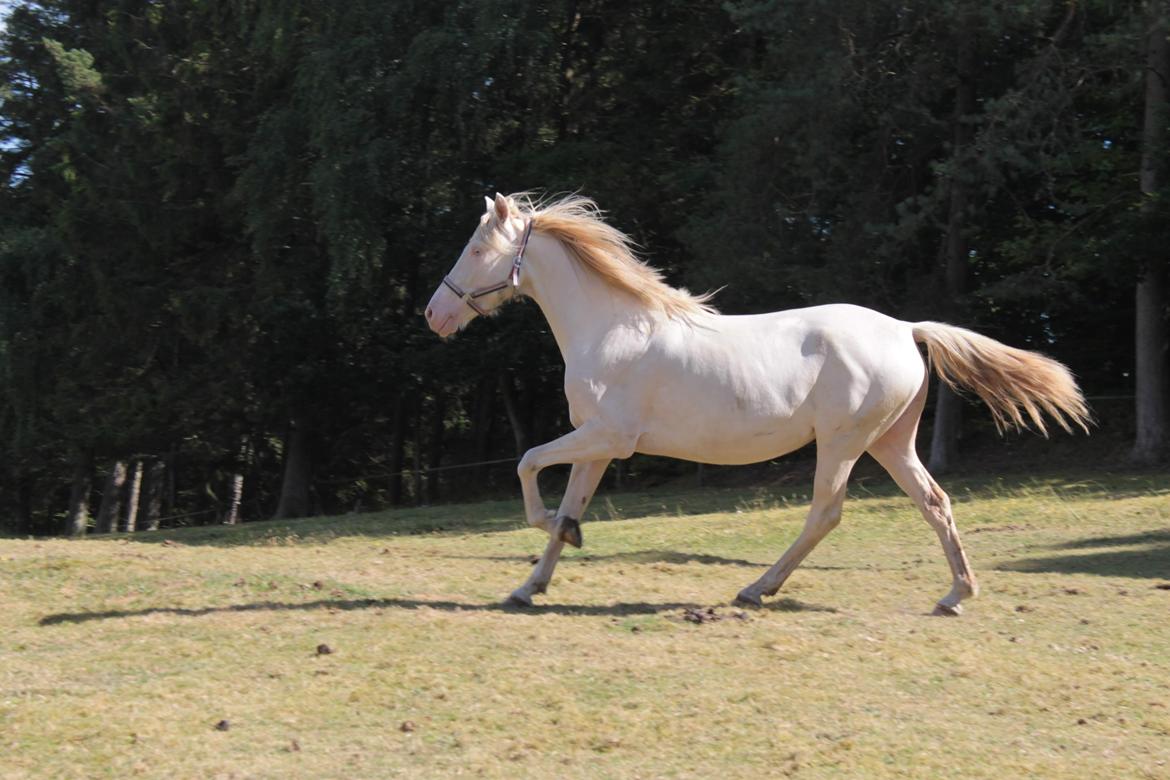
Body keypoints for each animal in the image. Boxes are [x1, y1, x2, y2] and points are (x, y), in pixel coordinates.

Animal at [425, 191, 1090, 612]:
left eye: (477, 250)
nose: (435, 314)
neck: (613, 329)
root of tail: (906, 328)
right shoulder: (597, 446)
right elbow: (567, 505)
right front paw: (531, 584)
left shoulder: (607, 438)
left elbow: (528, 466)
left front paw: (559, 540)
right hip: (890, 442)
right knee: (936, 503)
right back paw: (955, 595)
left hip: (844, 443)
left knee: (826, 513)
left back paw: (756, 589)